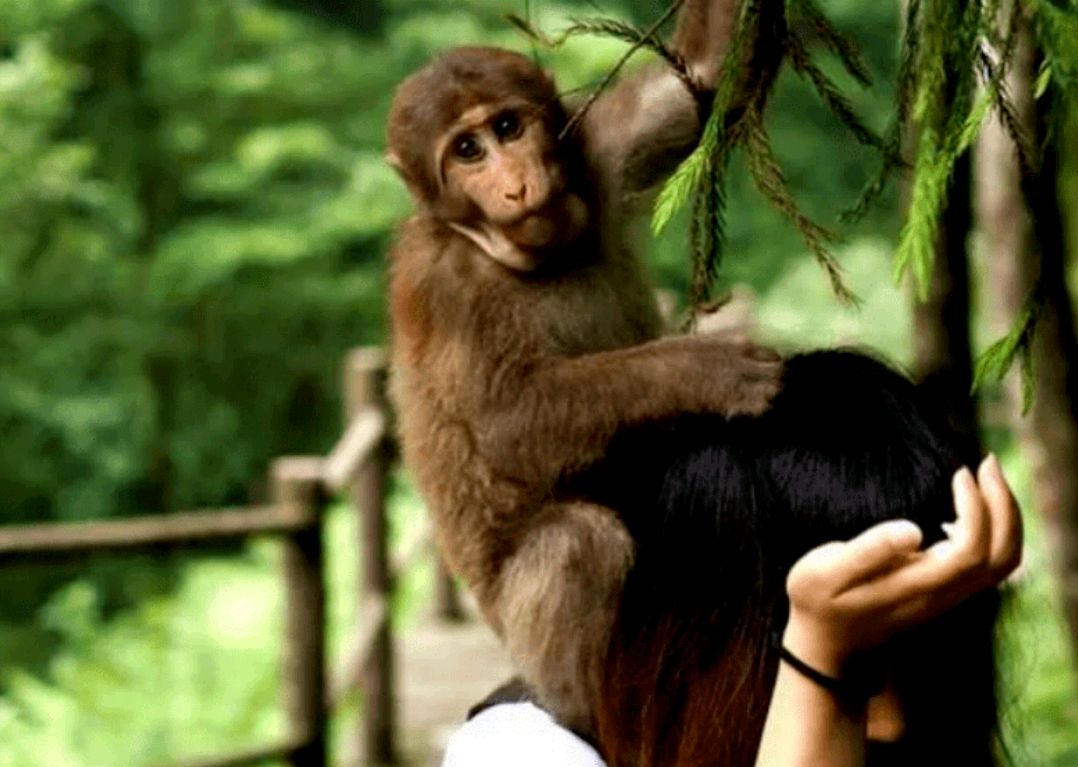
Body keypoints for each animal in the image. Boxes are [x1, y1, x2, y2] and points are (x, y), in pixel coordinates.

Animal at [383, 0, 771, 736]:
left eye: (508, 127)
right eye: (466, 151)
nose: (516, 183)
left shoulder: (596, 154)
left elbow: (708, 78)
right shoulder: (443, 284)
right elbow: (505, 423)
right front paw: (700, 367)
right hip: (510, 624)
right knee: (574, 543)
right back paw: (581, 707)